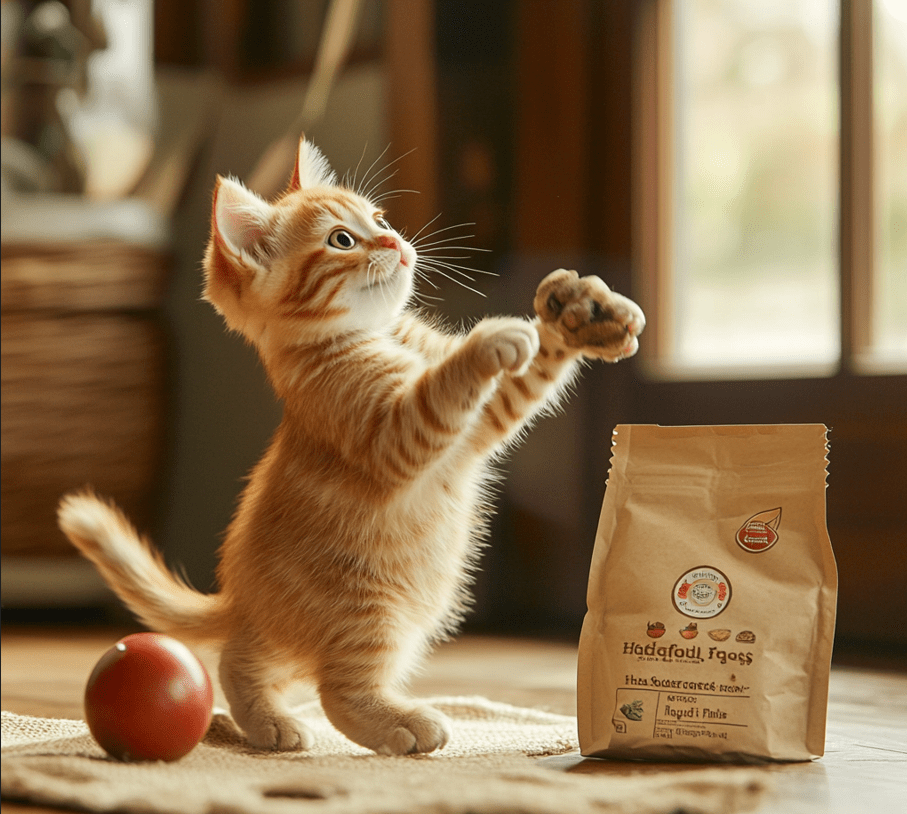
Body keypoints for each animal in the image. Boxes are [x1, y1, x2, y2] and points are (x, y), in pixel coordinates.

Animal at [56, 135, 644, 760]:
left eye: (379, 219)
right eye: (342, 239)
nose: (395, 242)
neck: (378, 334)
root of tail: (241, 597)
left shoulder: (483, 418)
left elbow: (522, 376)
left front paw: (576, 318)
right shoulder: (392, 432)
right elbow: (443, 386)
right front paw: (494, 337)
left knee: (251, 656)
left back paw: (267, 716)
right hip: (371, 609)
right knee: (327, 688)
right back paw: (381, 723)